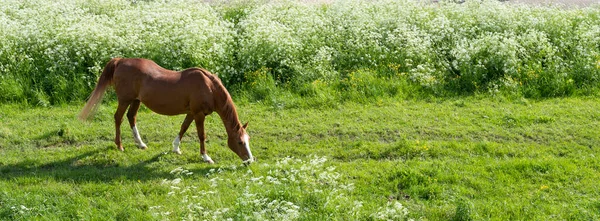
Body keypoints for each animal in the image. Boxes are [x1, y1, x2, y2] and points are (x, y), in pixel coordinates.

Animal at [79, 57, 253, 163]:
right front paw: (205, 157)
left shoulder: (191, 113)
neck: (209, 87)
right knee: (118, 118)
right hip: (125, 100)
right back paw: (120, 145)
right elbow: (201, 135)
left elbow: (183, 128)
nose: (250, 161)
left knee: (131, 117)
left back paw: (140, 143)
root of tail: (121, 61)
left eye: (248, 140)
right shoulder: (198, 114)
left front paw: (176, 148)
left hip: (136, 101)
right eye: (240, 142)